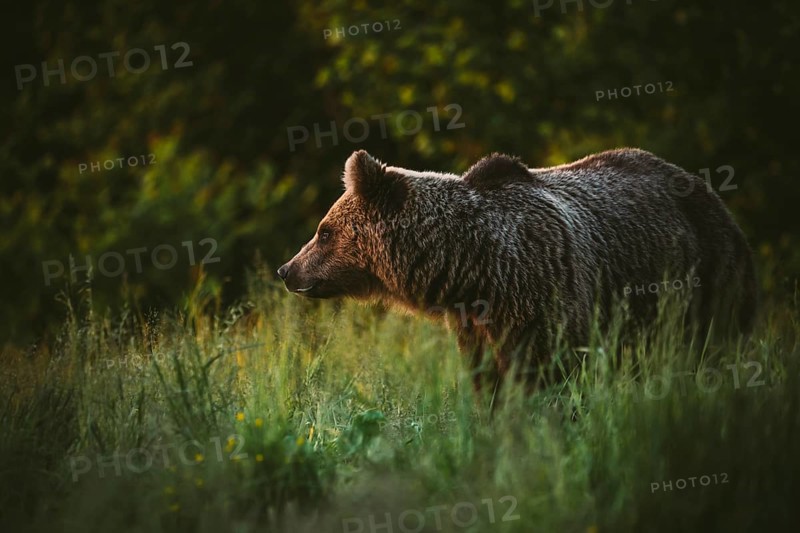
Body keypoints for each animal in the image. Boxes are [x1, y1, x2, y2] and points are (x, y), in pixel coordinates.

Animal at [278, 149, 757, 392]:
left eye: (323, 232)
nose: (287, 269)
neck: (472, 267)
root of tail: (706, 189)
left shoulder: (545, 298)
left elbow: (549, 377)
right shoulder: (475, 327)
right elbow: (487, 382)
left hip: (706, 272)